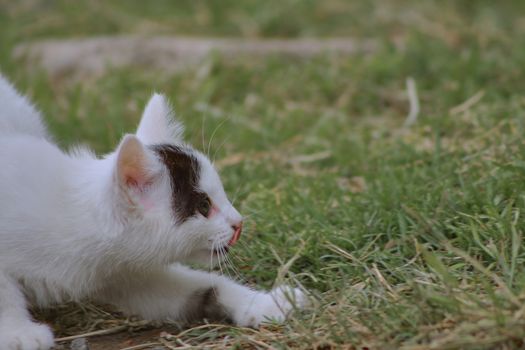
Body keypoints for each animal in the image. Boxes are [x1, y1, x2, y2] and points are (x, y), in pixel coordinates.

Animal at [0, 75, 308, 348]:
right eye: (204, 206)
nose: (238, 223)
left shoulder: (123, 270)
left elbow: (201, 286)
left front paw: (269, 302)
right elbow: (4, 292)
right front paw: (19, 334)